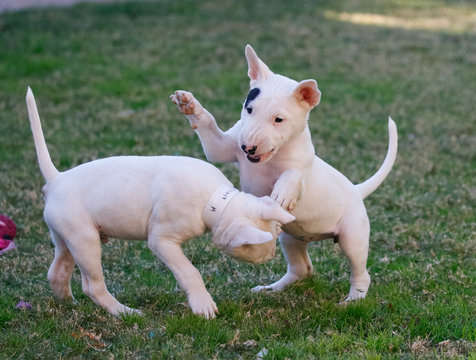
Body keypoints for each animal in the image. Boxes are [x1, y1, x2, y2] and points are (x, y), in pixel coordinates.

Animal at [26, 87, 296, 318]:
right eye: (257, 248)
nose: (271, 256)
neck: (214, 201)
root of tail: (56, 180)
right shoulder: (161, 241)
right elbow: (189, 271)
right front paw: (203, 306)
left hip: (67, 237)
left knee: (57, 272)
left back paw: (69, 303)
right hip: (85, 241)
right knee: (93, 286)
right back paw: (125, 313)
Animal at [171, 43, 398, 302]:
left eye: (279, 119)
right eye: (249, 109)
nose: (248, 147)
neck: (272, 157)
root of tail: (356, 190)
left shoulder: (300, 168)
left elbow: (291, 176)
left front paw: (283, 195)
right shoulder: (224, 147)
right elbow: (211, 136)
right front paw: (189, 105)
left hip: (353, 235)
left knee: (360, 271)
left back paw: (353, 299)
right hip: (290, 237)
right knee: (302, 269)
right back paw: (271, 289)